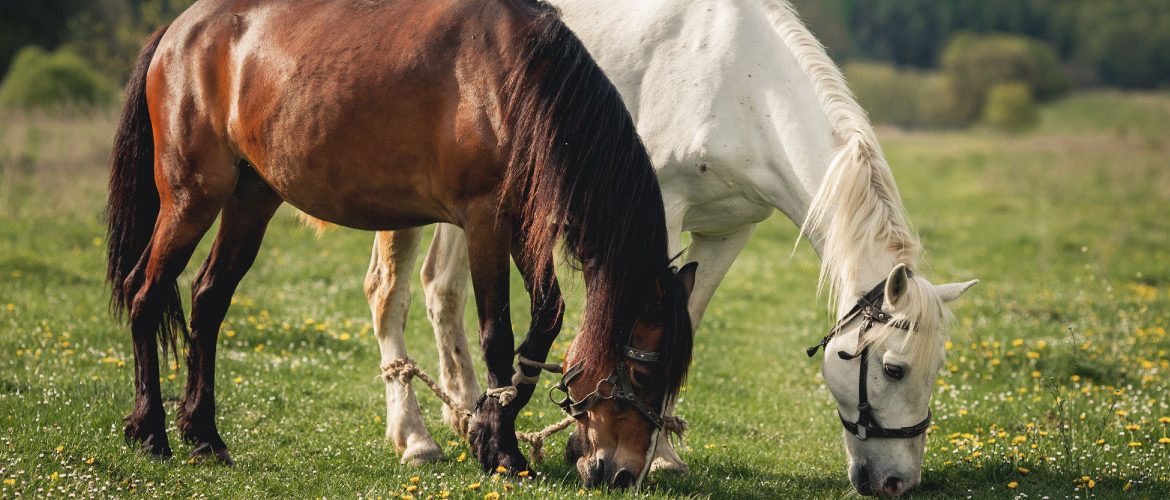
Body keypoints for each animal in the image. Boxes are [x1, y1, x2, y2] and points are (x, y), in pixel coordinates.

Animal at [102, 0, 692, 487]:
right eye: (643, 371)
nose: (624, 475)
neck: (515, 81)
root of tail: (178, 31)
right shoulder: (485, 221)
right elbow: (497, 336)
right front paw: (501, 450)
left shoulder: (523, 224)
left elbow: (545, 320)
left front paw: (487, 427)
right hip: (191, 198)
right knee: (145, 293)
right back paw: (151, 431)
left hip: (251, 201)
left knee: (207, 300)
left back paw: (204, 436)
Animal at [315, 0, 973, 494]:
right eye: (892, 368)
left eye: (937, 368)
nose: (896, 483)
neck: (740, 85)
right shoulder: (658, 214)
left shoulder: (728, 232)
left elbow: (687, 321)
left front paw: (661, 451)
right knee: (390, 292)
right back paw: (416, 437)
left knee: (442, 289)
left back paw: (467, 412)